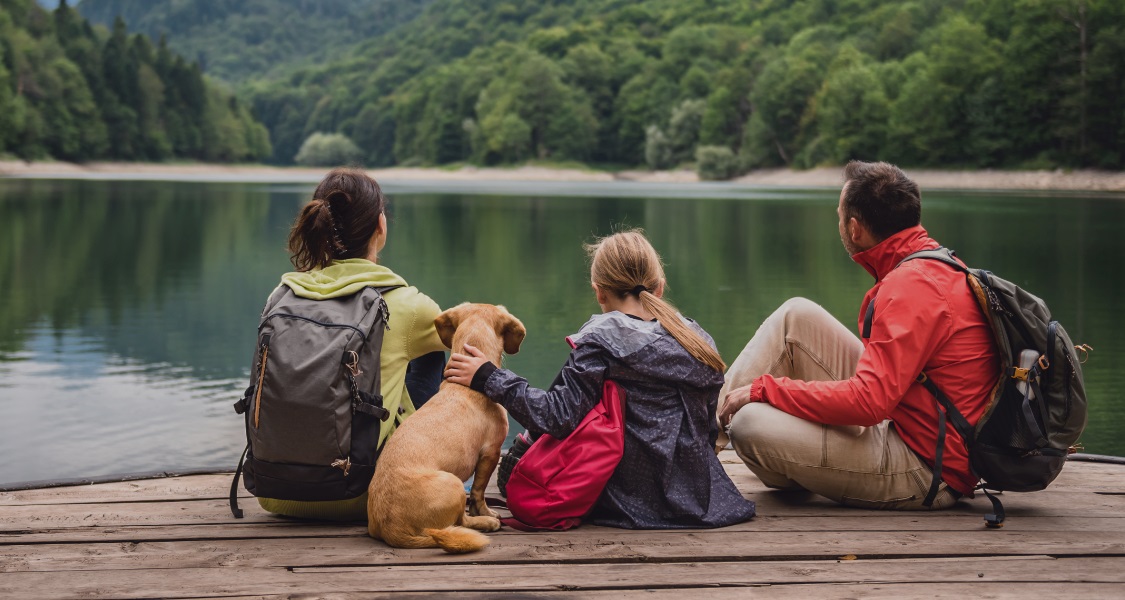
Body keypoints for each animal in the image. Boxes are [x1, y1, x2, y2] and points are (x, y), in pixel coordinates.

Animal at [369, 303, 526, 551]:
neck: (465, 386)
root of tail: (392, 529)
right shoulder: (490, 453)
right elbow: (479, 491)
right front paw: (487, 512)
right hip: (454, 483)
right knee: (461, 521)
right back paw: (487, 522)